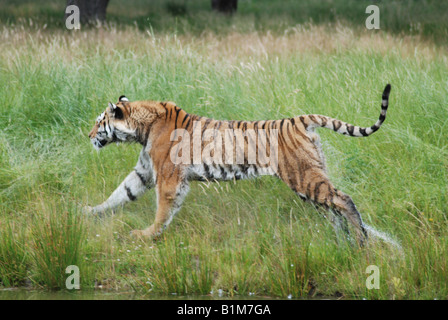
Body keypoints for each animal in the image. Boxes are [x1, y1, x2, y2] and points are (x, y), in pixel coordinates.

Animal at [86, 84, 390, 246]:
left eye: (100, 122)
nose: (88, 136)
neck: (142, 128)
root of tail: (299, 119)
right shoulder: (145, 172)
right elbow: (120, 194)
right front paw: (87, 212)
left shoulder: (168, 178)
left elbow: (162, 210)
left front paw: (148, 235)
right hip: (310, 181)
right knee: (333, 209)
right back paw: (344, 240)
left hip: (304, 177)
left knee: (344, 200)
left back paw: (361, 239)